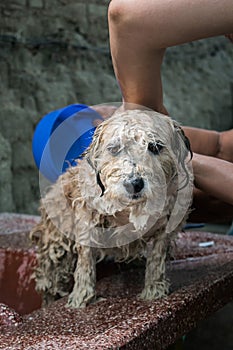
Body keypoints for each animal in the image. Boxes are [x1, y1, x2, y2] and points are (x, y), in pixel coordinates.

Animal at [31, 109, 193, 306]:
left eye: (155, 147)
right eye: (115, 148)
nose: (134, 183)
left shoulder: (166, 223)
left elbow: (157, 255)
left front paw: (154, 291)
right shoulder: (87, 216)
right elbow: (85, 258)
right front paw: (81, 297)